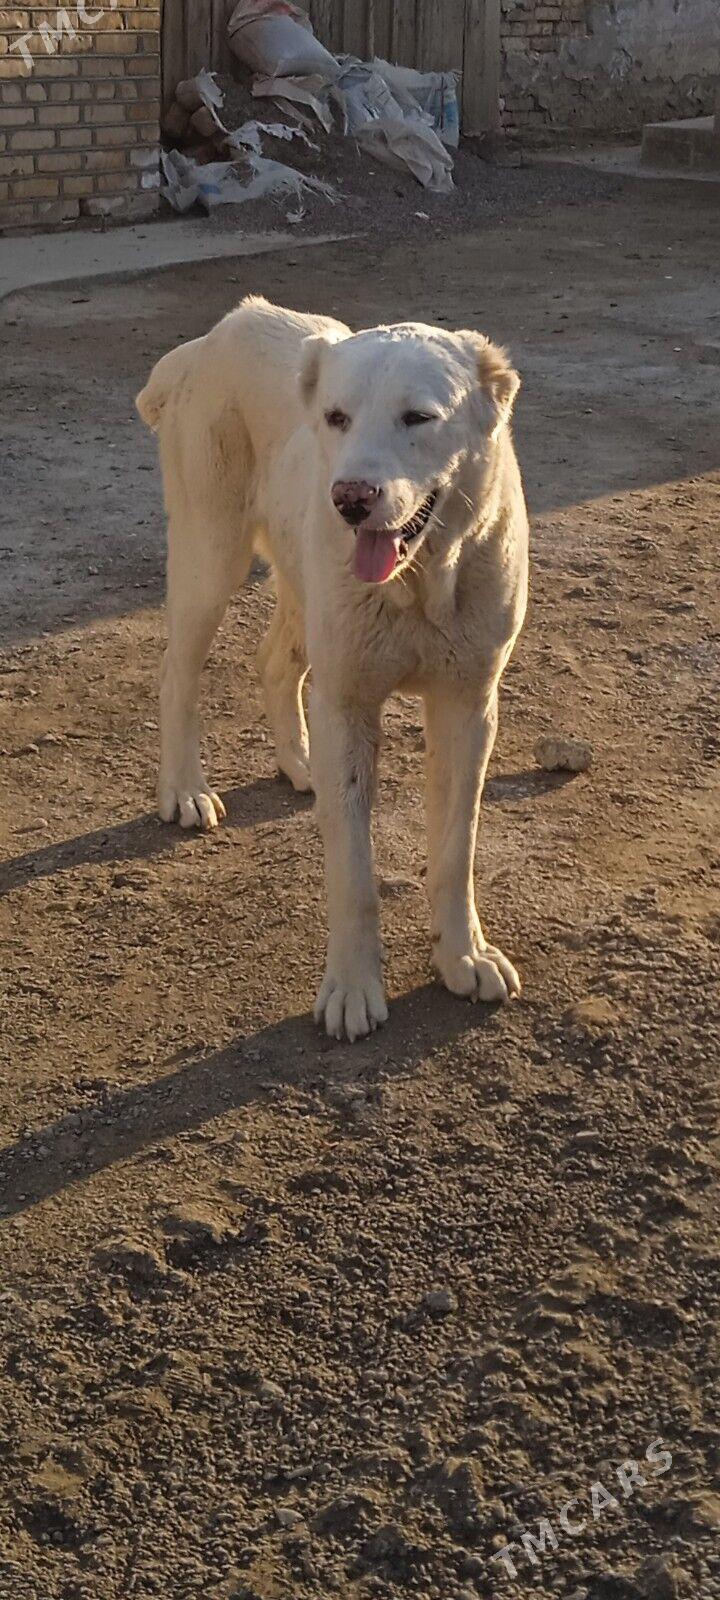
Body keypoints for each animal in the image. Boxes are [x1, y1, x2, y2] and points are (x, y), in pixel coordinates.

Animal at [137, 296, 529, 1041]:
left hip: (300, 583)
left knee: (273, 663)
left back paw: (299, 761)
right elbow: (352, 873)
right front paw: (352, 987)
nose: (350, 497)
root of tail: (219, 331)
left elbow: (456, 848)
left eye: (418, 418)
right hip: (210, 557)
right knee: (177, 674)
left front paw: (464, 955)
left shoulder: (469, 705)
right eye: (337, 417)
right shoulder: (348, 703)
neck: (419, 582)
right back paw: (185, 789)